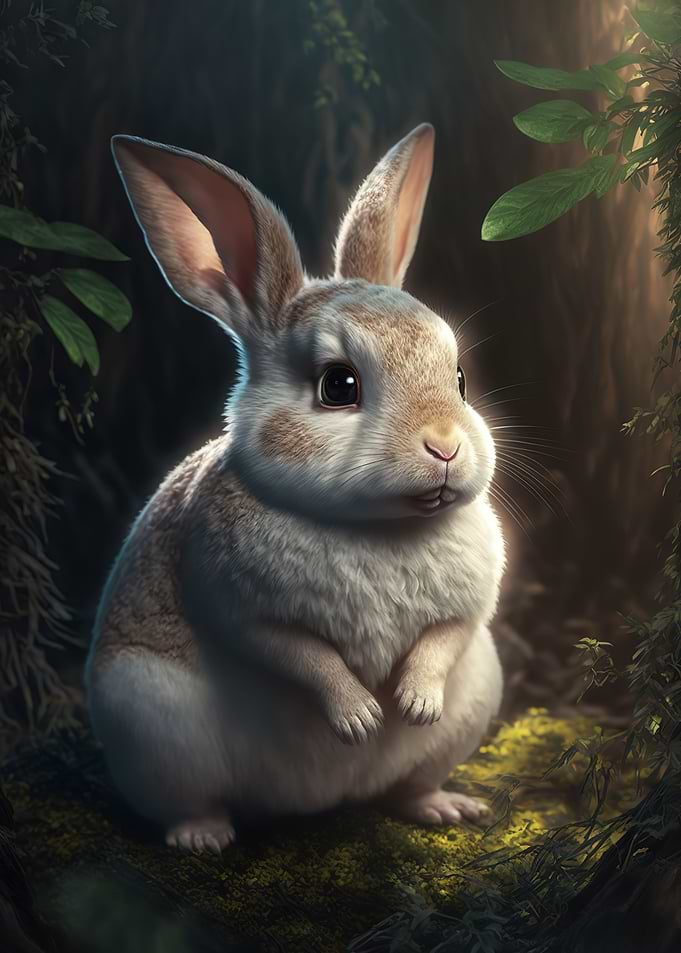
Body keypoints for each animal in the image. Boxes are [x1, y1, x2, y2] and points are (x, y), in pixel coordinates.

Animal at [85, 123, 505, 854]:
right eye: (339, 385)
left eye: (457, 378)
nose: (446, 446)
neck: (378, 527)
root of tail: (320, 799)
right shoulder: (241, 605)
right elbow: (303, 655)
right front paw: (360, 715)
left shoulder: (471, 611)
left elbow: (442, 638)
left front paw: (413, 701)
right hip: (147, 720)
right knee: (188, 800)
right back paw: (202, 836)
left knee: (410, 784)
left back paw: (442, 805)